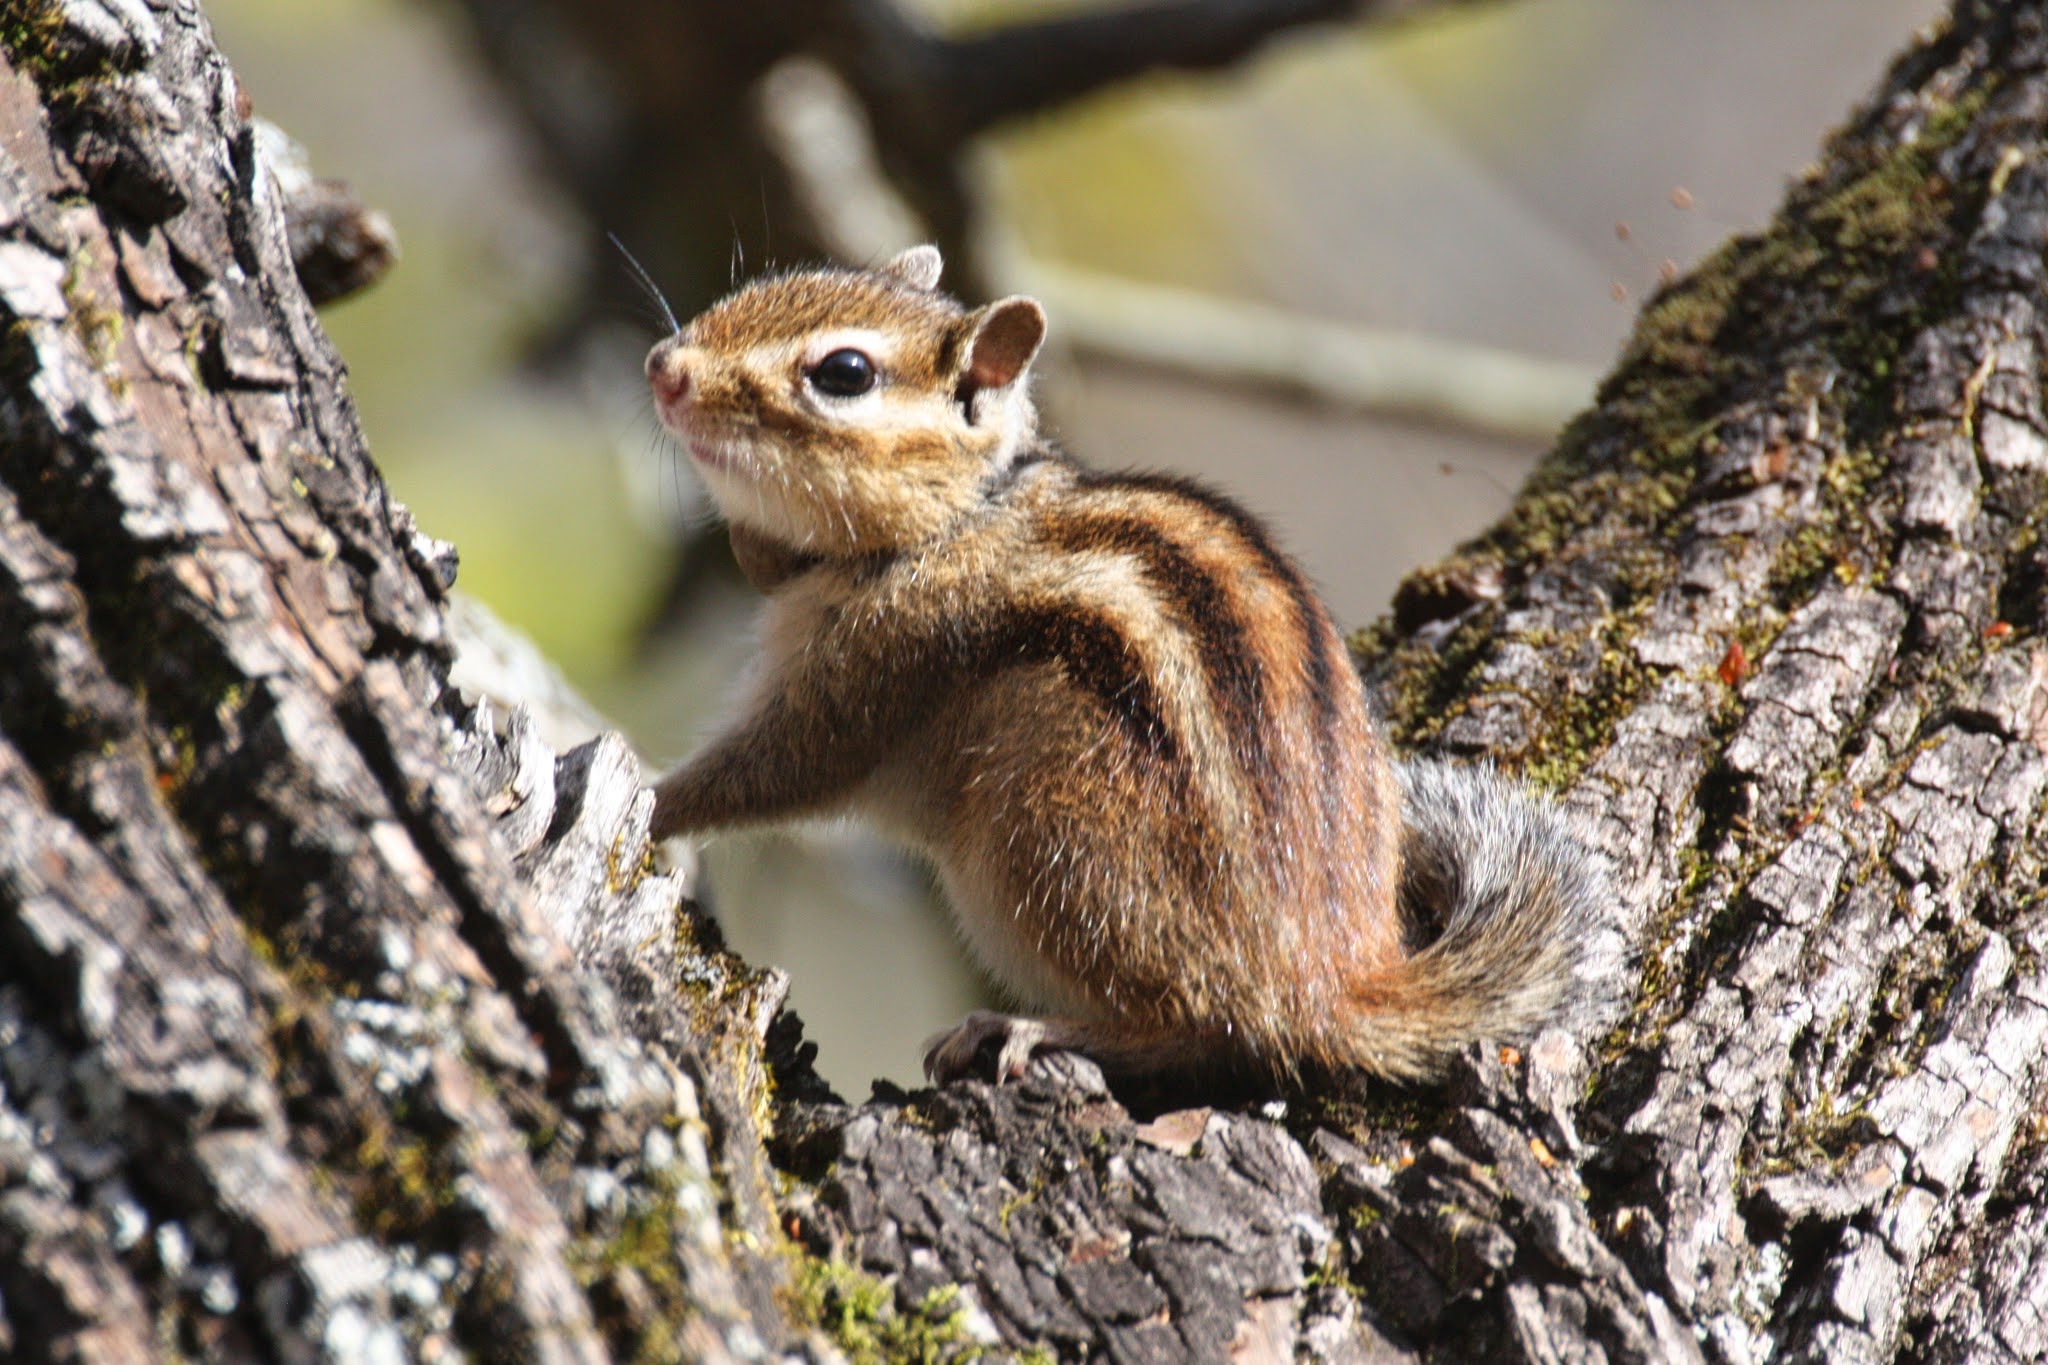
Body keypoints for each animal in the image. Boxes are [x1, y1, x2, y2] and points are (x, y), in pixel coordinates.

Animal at [642, 245, 1623, 1087]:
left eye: (843, 373)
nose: (662, 366)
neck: (958, 518)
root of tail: (1334, 981)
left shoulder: (874, 672)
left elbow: (776, 768)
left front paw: (651, 799)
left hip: (1052, 837)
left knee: (1205, 1027)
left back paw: (1028, 1026)